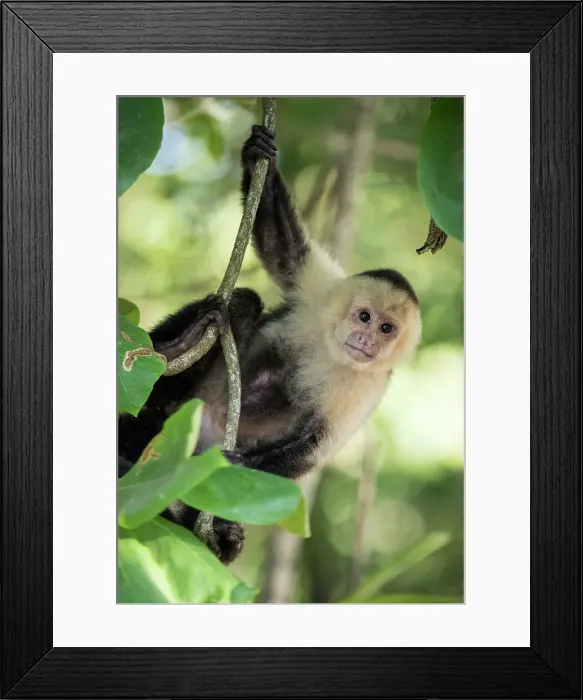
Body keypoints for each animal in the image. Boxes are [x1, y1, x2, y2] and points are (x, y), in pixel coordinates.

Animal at [118, 125, 422, 564]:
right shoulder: (321, 294)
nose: (367, 340)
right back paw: (174, 351)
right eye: (364, 317)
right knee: (240, 304)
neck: (333, 350)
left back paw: (222, 536)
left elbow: (312, 447)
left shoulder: (371, 386)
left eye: (387, 328)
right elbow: (283, 250)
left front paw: (232, 464)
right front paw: (257, 153)